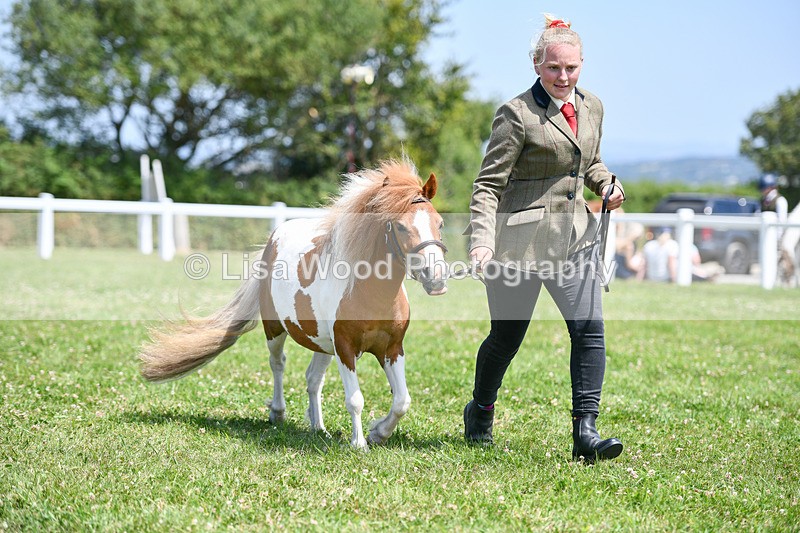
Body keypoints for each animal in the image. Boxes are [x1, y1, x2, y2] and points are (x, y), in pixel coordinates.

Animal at [139, 159, 448, 449]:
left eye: (439, 223)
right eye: (400, 226)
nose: (436, 278)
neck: (371, 294)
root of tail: (274, 238)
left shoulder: (391, 349)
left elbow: (402, 401)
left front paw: (378, 433)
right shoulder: (345, 349)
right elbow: (355, 399)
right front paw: (359, 443)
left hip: (323, 344)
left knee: (313, 379)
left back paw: (318, 427)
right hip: (275, 331)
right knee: (278, 364)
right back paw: (278, 413)